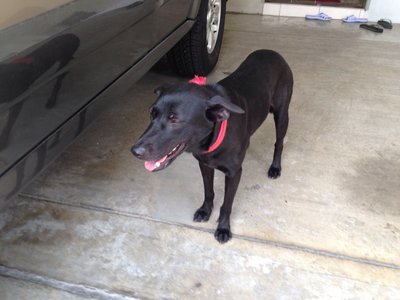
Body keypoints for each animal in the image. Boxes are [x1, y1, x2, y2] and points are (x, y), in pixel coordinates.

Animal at [133, 48, 292, 241]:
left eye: (174, 119)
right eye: (152, 114)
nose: (135, 151)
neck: (211, 138)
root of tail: (273, 52)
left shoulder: (234, 173)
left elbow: (227, 204)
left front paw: (223, 227)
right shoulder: (205, 164)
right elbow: (208, 191)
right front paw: (205, 211)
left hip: (282, 115)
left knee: (279, 143)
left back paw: (275, 167)